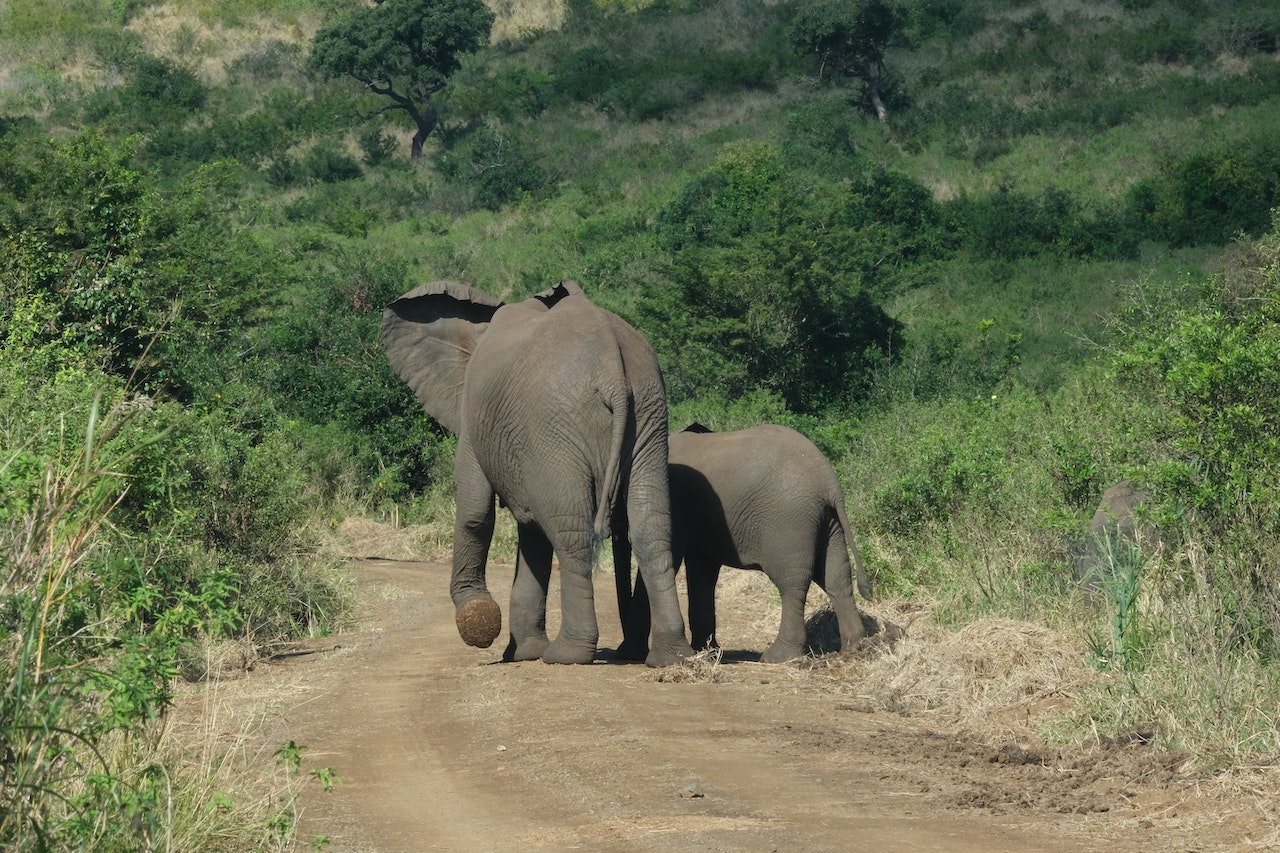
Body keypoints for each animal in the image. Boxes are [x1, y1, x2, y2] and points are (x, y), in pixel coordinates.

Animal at [381, 279, 693, 666]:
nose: (627, 650)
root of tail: (612, 371)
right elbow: (531, 531)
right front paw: (523, 652)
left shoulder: (476, 415)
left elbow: (475, 513)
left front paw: (481, 621)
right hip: (648, 416)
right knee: (651, 527)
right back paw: (672, 657)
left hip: (555, 426)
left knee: (571, 531)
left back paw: (567, 654)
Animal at [614, 424, 873, 663]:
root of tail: (829, 480)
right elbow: (702, 572)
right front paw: (709, 653)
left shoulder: (675, 508)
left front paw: (628, 654)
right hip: (829, 521)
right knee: (836, 577)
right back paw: (855, 648)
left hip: (791, 522)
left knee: (792, 583)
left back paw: (778, 657)